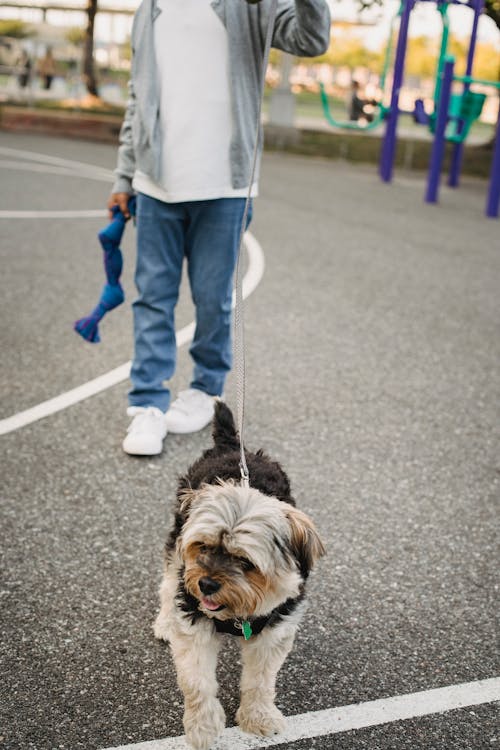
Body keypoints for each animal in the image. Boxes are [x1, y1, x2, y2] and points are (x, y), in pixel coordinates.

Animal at [152, 402, 324, 750]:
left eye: (245, 561)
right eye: (203, 546)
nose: (205, 584)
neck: (237, 614)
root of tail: (231, 446)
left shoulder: (274, 630)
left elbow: (261, 679)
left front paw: (258, 718)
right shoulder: (194, 623)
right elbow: (197, 681)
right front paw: (202, 727)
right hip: (176, 546)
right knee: (168, 582)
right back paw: (164, 621)